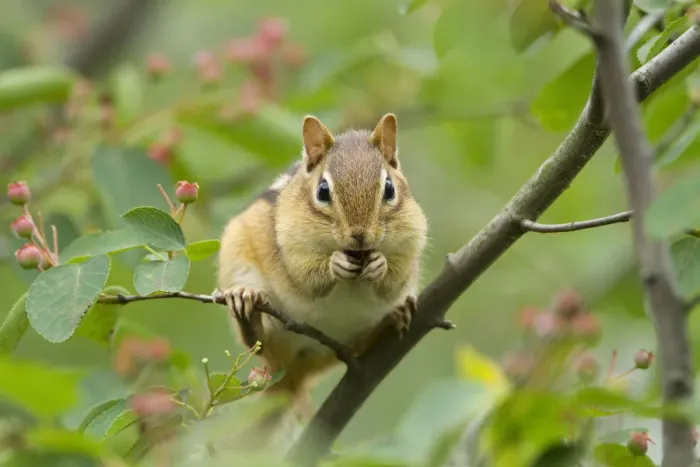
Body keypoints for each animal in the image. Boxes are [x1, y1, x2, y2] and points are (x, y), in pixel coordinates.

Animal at [214, 113, 428, 450]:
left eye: (389, 189)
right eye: (323, 191)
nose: (359, 235)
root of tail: (291, 371)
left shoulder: (413, 241)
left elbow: (393, 280)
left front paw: (380, 267)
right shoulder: (290, 241)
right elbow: (306, 276)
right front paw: (334, 264)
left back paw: (395, 314)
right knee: (257, 342)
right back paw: (246, 303)